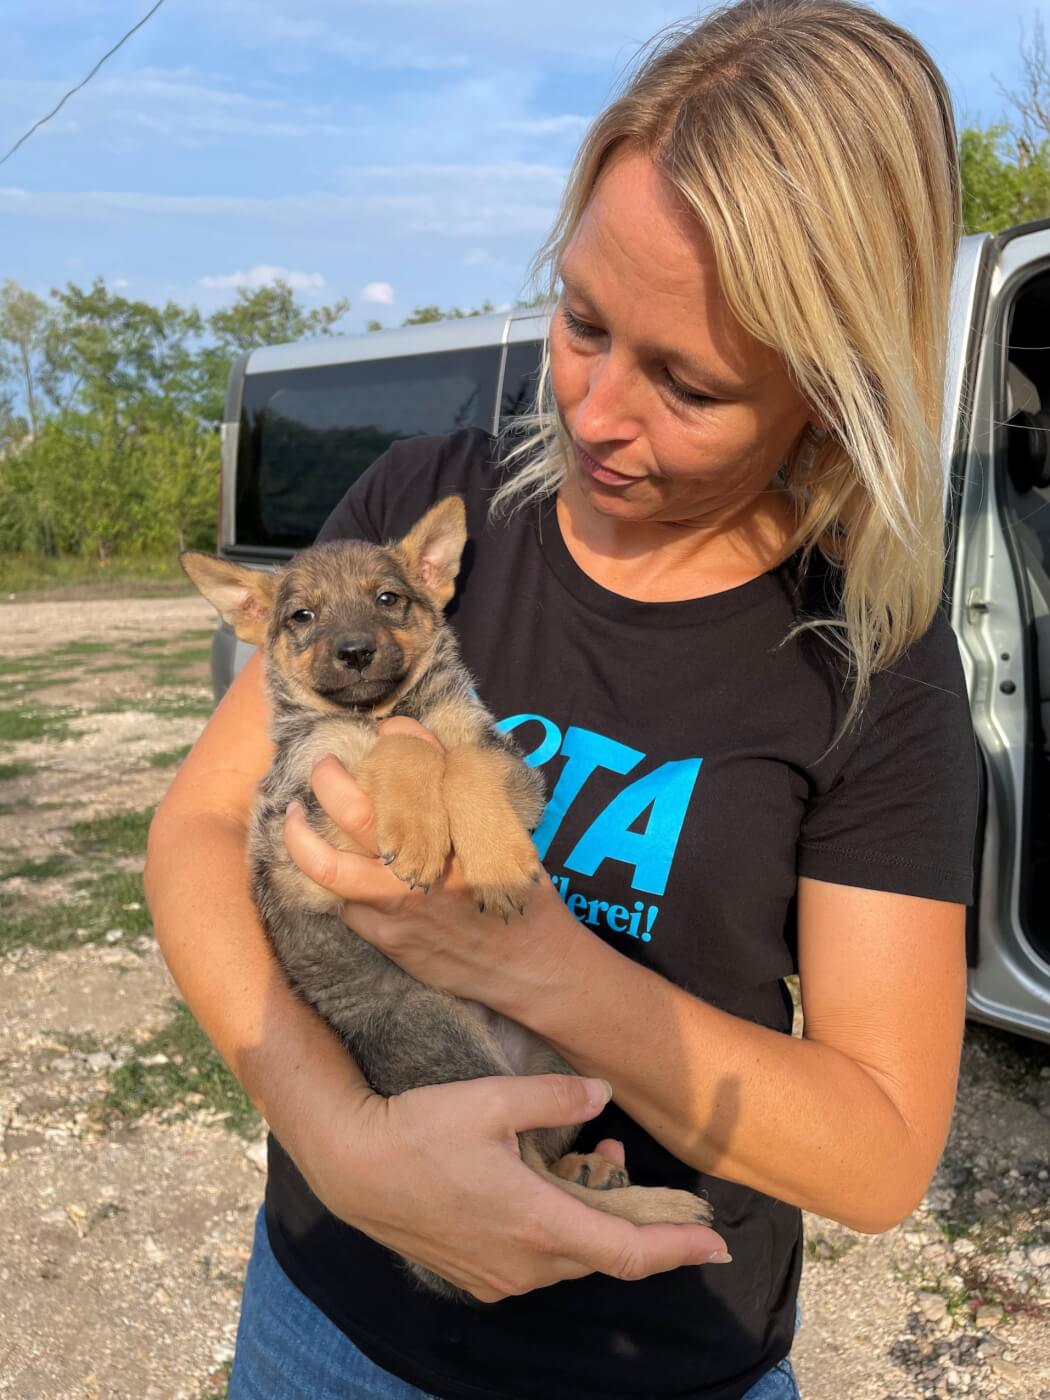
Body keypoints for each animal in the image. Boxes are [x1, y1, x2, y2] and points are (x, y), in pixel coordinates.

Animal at [184, 498, 722, 1293]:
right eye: (302, 616)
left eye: (388, 599)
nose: (353, 651)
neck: (382, 707)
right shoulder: (303, 830)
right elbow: (400, 748)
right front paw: (415, 824)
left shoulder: (506, 765)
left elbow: (458, 757)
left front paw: (494, 860)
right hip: (443, 1034)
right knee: (532, 1177)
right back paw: (646, 1202)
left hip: (557, 1062)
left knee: (540, 1163)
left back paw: (598, 1173)